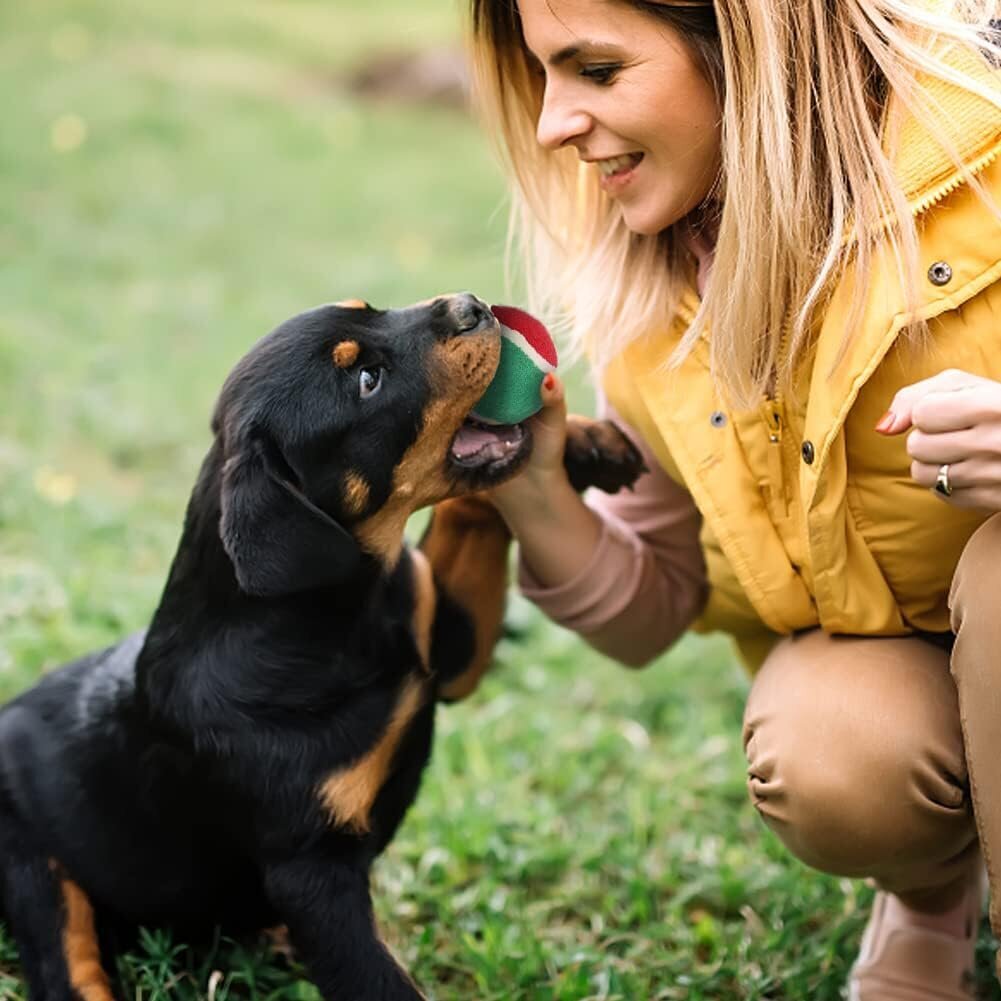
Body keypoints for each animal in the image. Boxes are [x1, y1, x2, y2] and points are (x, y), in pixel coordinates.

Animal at [0, 292, 640, 1001]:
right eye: (366, 380)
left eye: (369, 308)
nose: (470, 305)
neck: (336, 616)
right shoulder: (311, 871)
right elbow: (380, 980)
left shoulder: (445, 651)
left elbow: (471, 511)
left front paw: (583, 442)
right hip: (33, 866)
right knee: (68, 966)